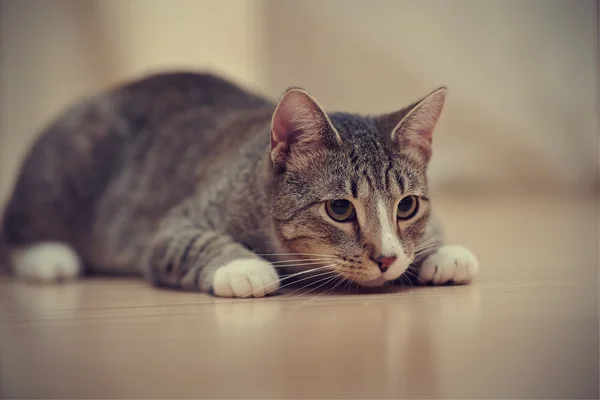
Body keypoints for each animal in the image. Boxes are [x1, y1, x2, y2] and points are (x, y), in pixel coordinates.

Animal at [0, 72, 478, 296]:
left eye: (407, 206)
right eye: (340, 209)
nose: (386, 259)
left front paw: (444, 252)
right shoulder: (173, 227)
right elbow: (191, 242)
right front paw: (244, 267)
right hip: (62, 174)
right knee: (15, 230)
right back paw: (49, 258)